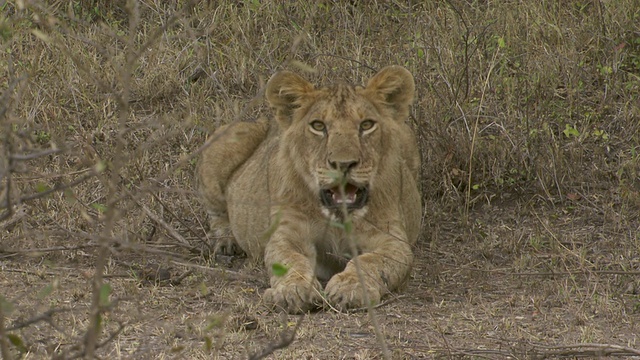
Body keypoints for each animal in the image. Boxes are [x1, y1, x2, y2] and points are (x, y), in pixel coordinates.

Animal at [198, 66, 422, 314]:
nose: (344, 164)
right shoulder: (288, 234)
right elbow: (290, 261)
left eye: (366, 125)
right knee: (217, 213)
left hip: (408, 138)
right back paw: (226, 242)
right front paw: (293, 291)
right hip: (226, 142)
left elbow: (371, 262)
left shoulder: (393, 241)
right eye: (318, 126)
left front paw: (349, 288)